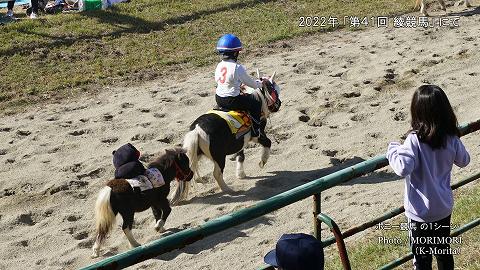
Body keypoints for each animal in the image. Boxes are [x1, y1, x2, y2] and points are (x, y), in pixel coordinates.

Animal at [172, 71, 282, 205]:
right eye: (275, 89)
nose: (279, 104)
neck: (258, 99)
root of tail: (197, 129)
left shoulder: (240, 142)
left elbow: (241, 156)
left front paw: (241, 174)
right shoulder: (258, 135)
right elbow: (268, 143)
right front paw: (262, 162)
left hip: (193, 156)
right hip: (219, 158)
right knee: (217, 174)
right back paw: (228, 190)